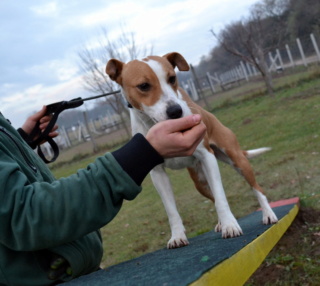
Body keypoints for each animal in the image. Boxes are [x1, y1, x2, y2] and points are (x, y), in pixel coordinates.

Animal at [105, 52, 278, 249]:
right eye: (143, 86)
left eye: (172, 78)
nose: (175, 111)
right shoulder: (158, 174)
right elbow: (171, 210)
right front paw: (177, 236)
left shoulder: (207, 157)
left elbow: (221, 198)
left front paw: (230, 225)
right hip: (200, 182)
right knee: (212, 196)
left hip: (238, 160)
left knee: (256, 188)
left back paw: (268, 214)